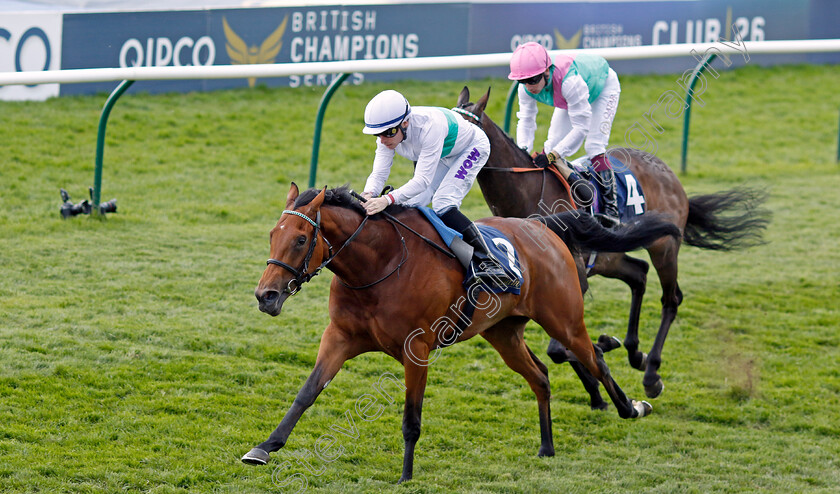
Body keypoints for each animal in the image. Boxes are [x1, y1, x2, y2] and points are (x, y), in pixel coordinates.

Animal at [243, 183, 684, 480]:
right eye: (272, 235)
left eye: (301, 239)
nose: (266, 296)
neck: (379, 265)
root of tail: (543, 226)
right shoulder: (339, 337)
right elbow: (306, 393)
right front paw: (264, 448)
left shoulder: (417, 349)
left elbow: (411, 417)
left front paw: (406, 476)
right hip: (504, 334)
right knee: (541, 376)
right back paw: (547, 446)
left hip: (564, 319)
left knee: (594, 359)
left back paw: (632, 402)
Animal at [456, 88, 772, 406]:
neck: (528, 195)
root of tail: (670, 174)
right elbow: (561, 349)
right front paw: (598, 386)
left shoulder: (573, 279)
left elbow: (558, 348)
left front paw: (603, 353)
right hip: (609, 258)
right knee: (639, 274)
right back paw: (635, 352)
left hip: (664, 247)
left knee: (671, 299)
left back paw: (651, 373)